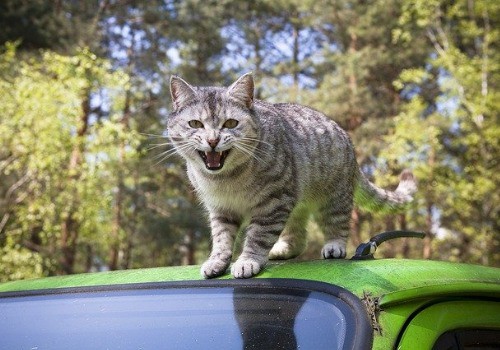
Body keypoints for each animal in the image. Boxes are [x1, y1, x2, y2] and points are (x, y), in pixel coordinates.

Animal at [166, 73, 416, 278]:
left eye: (230, 123)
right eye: (195, 124)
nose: (213, 140)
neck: (225, 179)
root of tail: (347, 138)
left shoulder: (273, 202)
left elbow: (258, 236)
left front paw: (247, 261)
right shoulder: (221, 209)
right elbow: (222, 238)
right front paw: (217, 261)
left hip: (333, 196)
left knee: (338, 222)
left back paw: (334, 245)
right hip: (296, 204)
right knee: (298, 237)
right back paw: (281, 250)